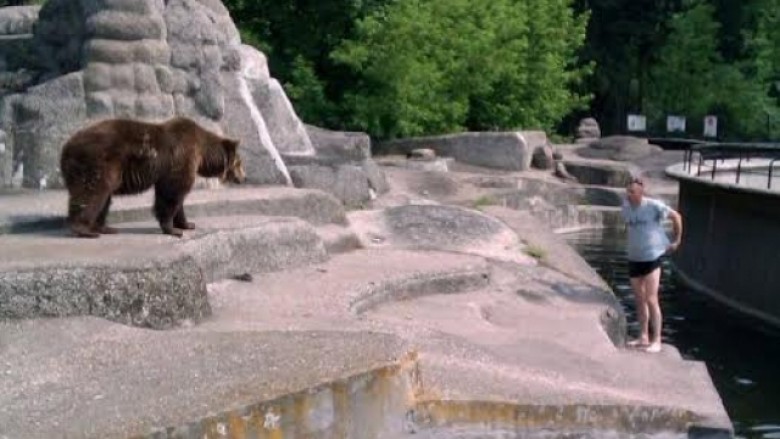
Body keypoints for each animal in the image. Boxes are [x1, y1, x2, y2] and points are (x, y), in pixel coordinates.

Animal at [60, 116, 244, 237]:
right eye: (240, 163)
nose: (243, 177)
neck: (203, 154)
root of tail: (65, 148)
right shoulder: (182, 158)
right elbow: (172, 193)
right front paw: (173, 229)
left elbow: (176, 197)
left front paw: (187, 224)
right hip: (98, 161)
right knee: (92, 192)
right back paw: (85, 229)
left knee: (102, 197)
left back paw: (105, 228)